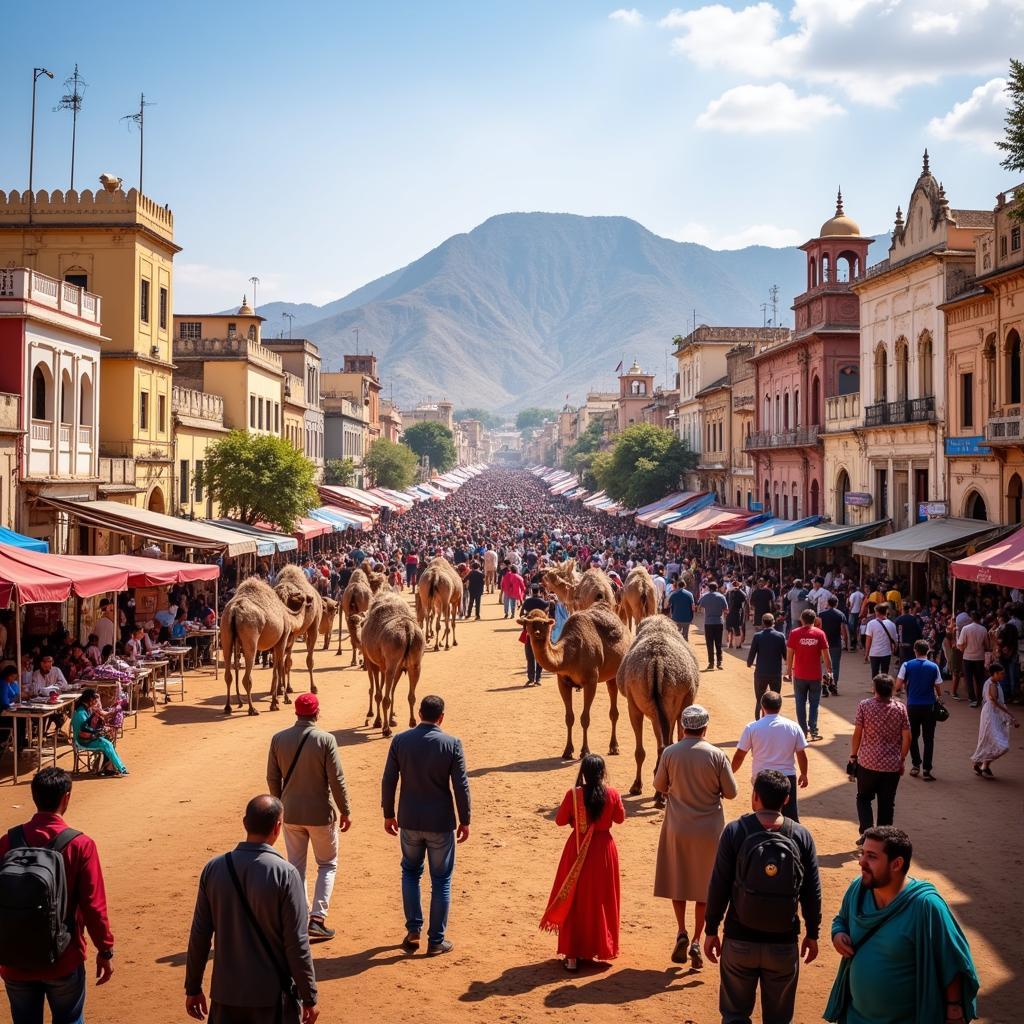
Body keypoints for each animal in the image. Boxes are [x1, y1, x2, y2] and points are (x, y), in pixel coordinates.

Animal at [220, 581, 303, 716]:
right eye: (294, 590)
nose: (308, 597)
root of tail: (234, 610)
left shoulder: (274, 645)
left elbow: (275, 669)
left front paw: (275, 701)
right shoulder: (282, 640)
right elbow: (280, 668)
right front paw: (282, 700)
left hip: (225, 632)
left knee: (228, 674)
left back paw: (228, 707)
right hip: (250, 636)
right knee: (247, 677)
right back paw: (252, 709)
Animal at [272, 561, 323, 696]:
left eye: (285, 601)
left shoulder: (312, 628)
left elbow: (306, 660)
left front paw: (313, 687)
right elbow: (281, 662)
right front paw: (280, 689)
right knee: (284, 661)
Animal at [360, 593, 423, 737]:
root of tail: (408, 629)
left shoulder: (372, 663)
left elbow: (376, 692)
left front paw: (376, 719)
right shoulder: (397, 667)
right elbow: (391, 691)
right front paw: (391, 719)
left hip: (391, 660)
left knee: (385, 697)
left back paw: (386, 729)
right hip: (415, 663)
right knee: (411, 695)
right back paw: (412, 722)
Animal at [520, 606, 630, 761]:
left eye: (544, 623)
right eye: (528, 622)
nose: (536, 633)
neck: (569, 655)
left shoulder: (591, 681)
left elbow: (585, 718)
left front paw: (585, 751)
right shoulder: (562, 682)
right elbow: (569, 718)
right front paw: (567, 751)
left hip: (615, 672)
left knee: (613, 709)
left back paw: (614, 747)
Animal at [610, 610, 700, 802]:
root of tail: (657, 662)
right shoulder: (674, 706)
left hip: (640, 701)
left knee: (649, 747)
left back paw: (642, 788)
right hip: (673, 697)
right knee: (666, 744)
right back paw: (658, 793)